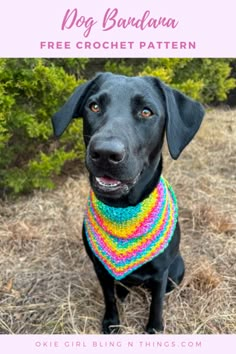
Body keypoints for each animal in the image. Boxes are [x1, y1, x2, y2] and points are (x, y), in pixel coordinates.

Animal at [52, 72, 205, 334]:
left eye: (146, 112)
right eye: (94, 106)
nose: (105, 153)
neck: (123, 210)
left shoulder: (161, 272)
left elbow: (156, 303)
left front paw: (154, 328)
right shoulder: (100, 269)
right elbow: (109, 298)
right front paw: (112, 322)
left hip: (177, 269)